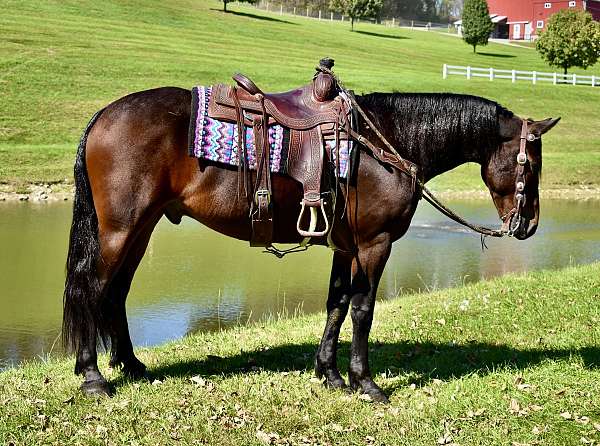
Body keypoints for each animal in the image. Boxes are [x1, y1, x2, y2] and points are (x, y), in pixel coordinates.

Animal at [61, 85, 556, 402]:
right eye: (530, 164)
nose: (530, 224)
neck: (386, 142)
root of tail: (104, 114)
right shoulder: (374, 244)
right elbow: (362, 309)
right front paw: (365, 382)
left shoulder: (345, 246)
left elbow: (336, 303)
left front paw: (330, 373)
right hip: (120, 229)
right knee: (91, 290)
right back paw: (93, 376)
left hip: (140, 229)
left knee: (116, 292)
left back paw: (131, 364)